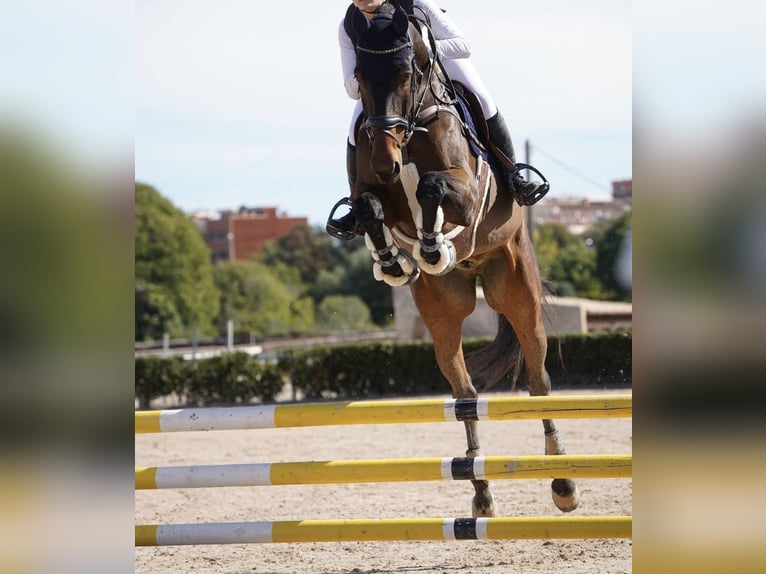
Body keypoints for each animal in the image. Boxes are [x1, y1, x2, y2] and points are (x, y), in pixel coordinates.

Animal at [346, 5, 578, 517]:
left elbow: (432, 186)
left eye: (406, 73)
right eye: (359, 76)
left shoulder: (467, 192)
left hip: (519, 292)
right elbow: (369, 207)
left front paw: (433, 243)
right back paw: (482, 494)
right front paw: (394, 259)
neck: (411, 126)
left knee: (538, 381)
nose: (387, 163)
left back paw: (564, 484)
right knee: (465, 396)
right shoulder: (374, 191)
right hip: (442, 312)